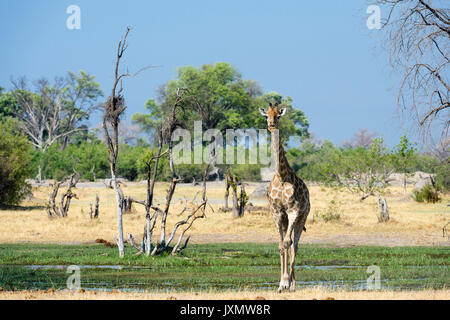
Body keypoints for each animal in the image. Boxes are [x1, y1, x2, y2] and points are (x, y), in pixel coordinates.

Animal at [260, 102, 310, 292]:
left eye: (278, 115)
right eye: (267, 115)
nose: (271, 124)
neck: (281, 175)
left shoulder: (293, 211)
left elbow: (288, 244)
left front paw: (287, 282)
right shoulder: (277, 212)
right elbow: (281, 246)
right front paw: (281, 283)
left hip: (302, 217)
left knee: (295, 245)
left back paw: (294, 284)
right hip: (286, 219)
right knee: (289, 245)